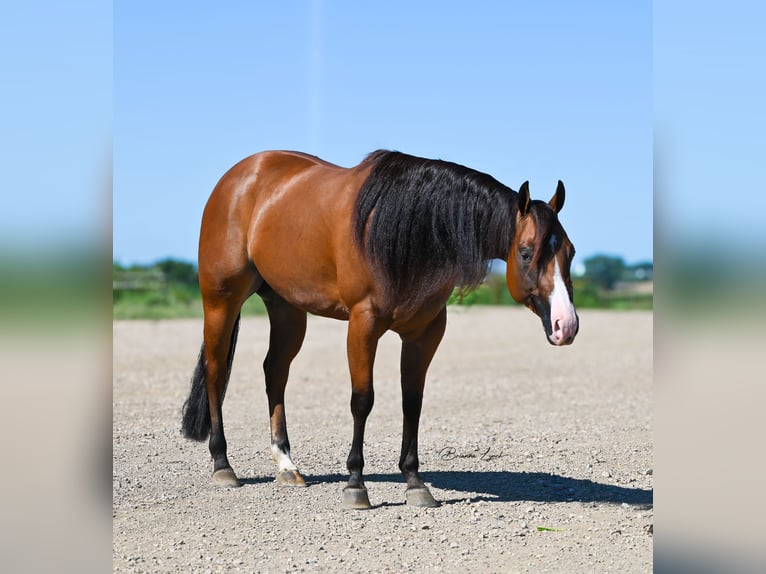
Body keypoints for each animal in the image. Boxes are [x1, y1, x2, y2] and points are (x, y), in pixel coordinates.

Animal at [183, 151, 580, 510]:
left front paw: (415, 483)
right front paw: (356, 486)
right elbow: (362, 400)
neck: (410, 232)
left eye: (571, 253)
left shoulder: (425, 332)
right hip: (221, 300)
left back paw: (285, 465)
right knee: (216, 371)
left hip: (286, 308)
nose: (566, 325)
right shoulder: (364, 323)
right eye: (526, 253)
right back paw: (223, 465)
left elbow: (412, 402)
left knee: (275, 372)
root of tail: (240, 175)